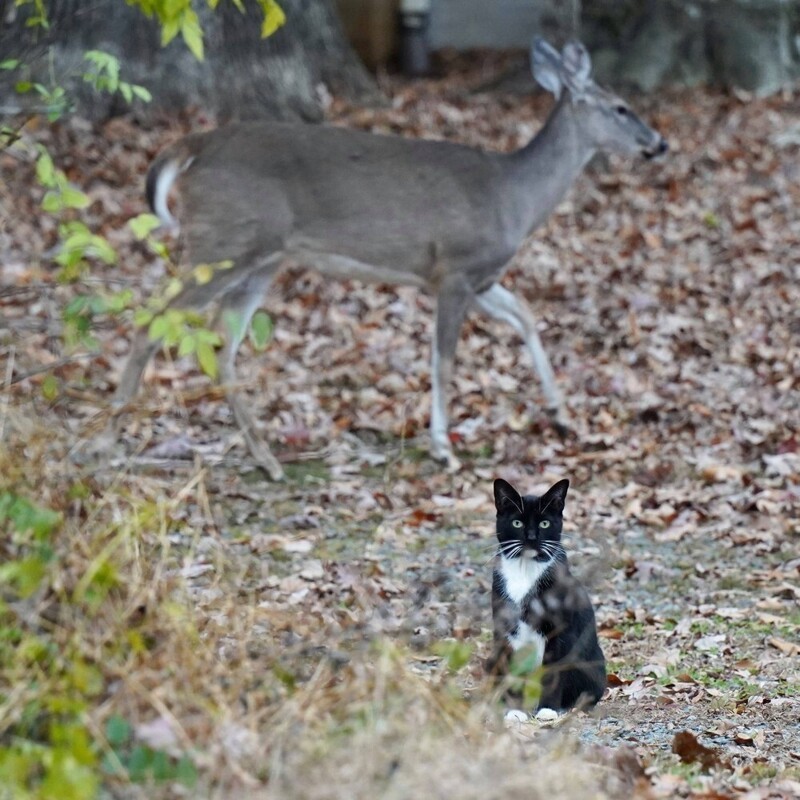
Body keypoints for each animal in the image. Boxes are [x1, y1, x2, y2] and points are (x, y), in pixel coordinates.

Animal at [112, 39, 668, 476]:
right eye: (620, 107)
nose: (659, 144)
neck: (515, 197)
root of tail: (195, 145)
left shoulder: (479, 277)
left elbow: (528, 317)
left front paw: (560, 414)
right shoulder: (455, 268)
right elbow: (443, 360)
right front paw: (443, 448)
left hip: (259, 258)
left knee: (221, 345)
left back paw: (266, 460)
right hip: (221, 241)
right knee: (153, 317)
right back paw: (109, 436)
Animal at [488, 476, 608, 712]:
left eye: (545, 524)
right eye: (517, 523)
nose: (532, 537)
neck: (525, 571)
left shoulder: (559, 630)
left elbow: (553, 671)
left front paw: (547, 710)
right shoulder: (505, 627)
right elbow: (513, 669)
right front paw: (515, 711)